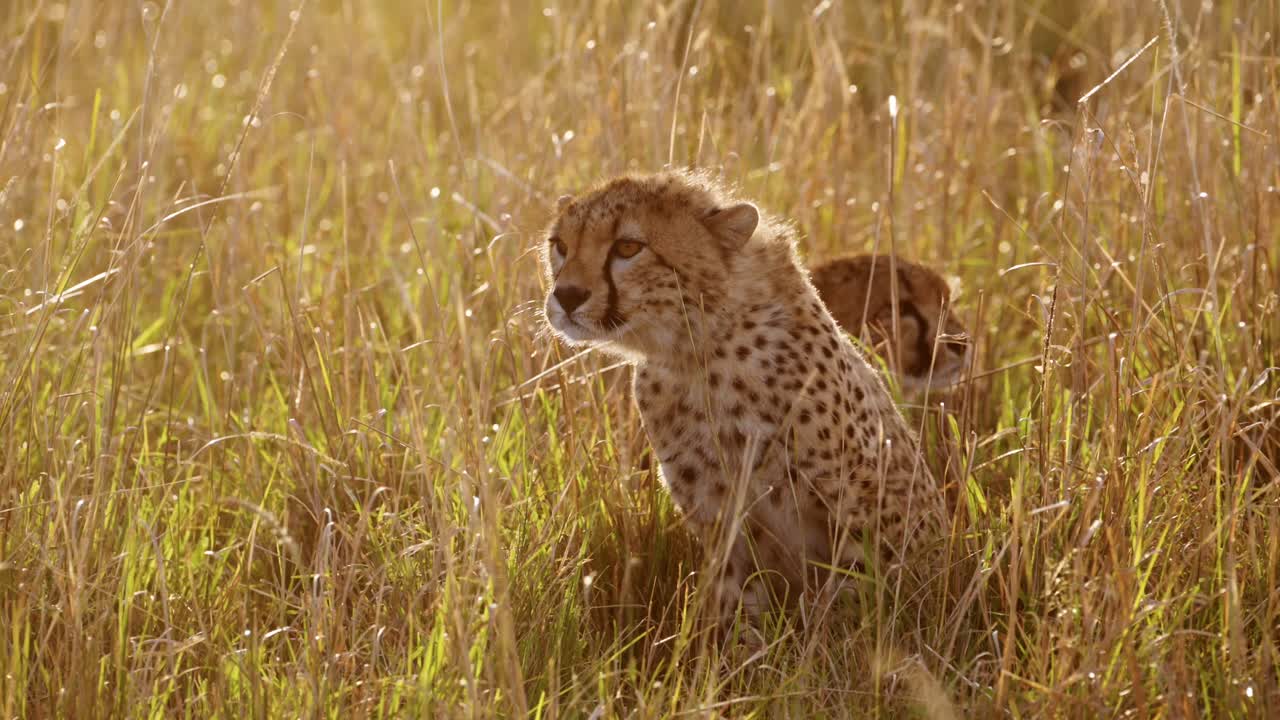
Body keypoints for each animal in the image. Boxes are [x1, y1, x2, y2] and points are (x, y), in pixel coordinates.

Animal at [540, 170, 945, 623]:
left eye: (628, 247)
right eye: (560, 245)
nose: (567, 295)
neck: (697, 353)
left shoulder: (867, 511)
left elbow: (851, 598)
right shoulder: (723, 525)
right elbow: (738, 607)